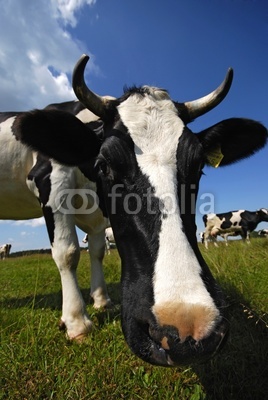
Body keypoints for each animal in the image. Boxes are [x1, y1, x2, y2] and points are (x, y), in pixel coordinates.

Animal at [2, 54, 268, 368]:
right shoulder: (49, 179)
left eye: (200, 165)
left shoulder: (98, 219)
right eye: (104, 164)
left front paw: (102, 301)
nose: (186, 326)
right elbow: (67, 252)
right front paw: (77, 322)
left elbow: (97, 251)